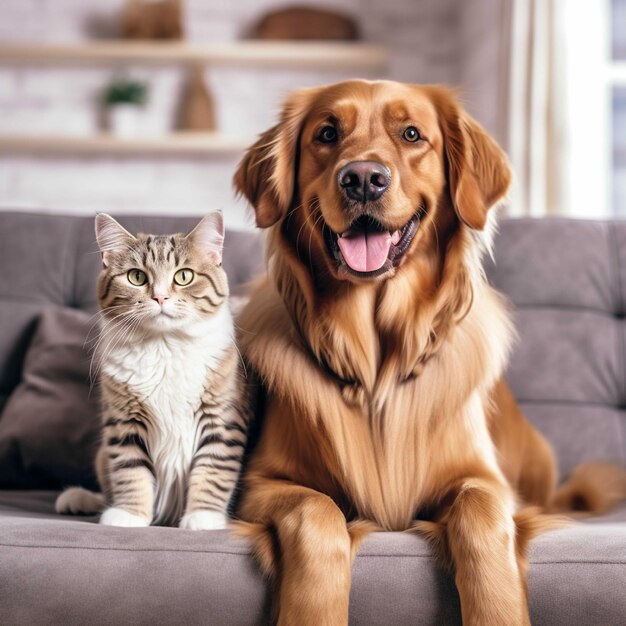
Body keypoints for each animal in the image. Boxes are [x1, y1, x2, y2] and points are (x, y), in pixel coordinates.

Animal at [54, 211, 246, 528]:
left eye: (184, 276)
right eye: (136, 277)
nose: (160, 298)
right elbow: (131, 471)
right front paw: (130, 515)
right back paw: (81, 499)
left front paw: (202, 517)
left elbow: (213, 469)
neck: (164, 345)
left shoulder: (221, 419)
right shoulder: (124, 421)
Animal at [230, 80, 624, 620]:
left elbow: (479, 516)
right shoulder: (262, 484)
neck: (376, 366)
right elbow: (316, 512)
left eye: (412, 134)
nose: (363, 179)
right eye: (327, 134)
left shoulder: (485, 481)